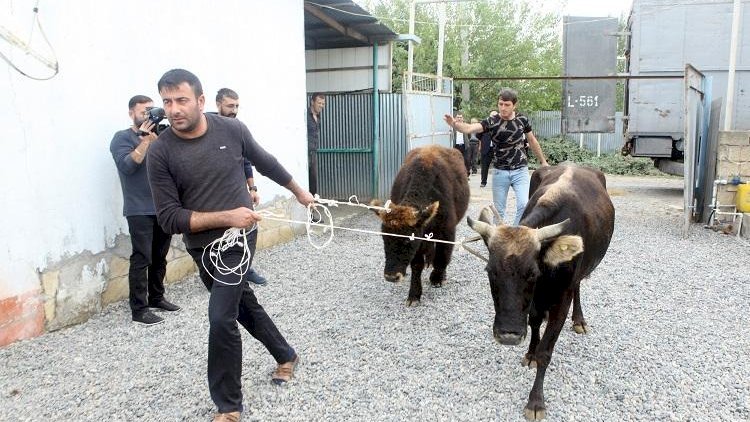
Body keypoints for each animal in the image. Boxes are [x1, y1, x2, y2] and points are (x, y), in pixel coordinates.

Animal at [374, 143, 472, 304]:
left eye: (407, 241)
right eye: (384, 239)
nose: (391, 276)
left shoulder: (447, 232)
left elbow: (443, 256)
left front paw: (437, 278)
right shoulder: (419, 239)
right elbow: (416, 265)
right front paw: (414, 294)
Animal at [470, 164, 616, 418]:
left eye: (532, 273)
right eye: (490, 271)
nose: (508, 335)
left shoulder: (561, 299)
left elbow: (546, 352)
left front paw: (535, 401)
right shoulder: (533, 302)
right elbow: (534, 323)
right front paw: (530, 353)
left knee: (578, 286)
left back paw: (579, 320)